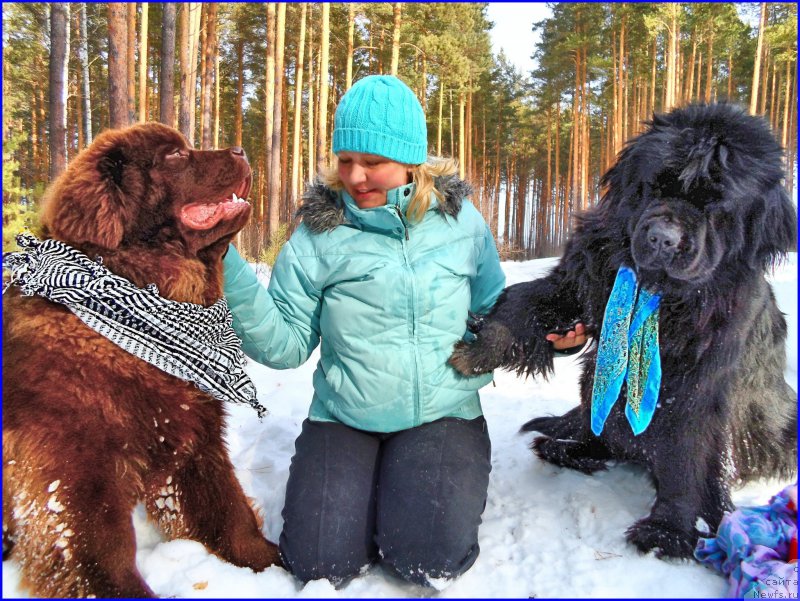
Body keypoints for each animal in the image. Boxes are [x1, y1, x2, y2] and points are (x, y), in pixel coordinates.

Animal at [3, 123, 280, 596]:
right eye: (174, 156)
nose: (241, 149)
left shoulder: (193, 442)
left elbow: (229, 513)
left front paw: (277, 565)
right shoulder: (73, 479)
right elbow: (105, 560)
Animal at [454, 102, 796, 556]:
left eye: (715, 204)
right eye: (655, 187)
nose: (663, 238)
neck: (663, 297)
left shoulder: (701, 383)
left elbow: (688, 453)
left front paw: (668, 529)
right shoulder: (581, 283)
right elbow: (525, 302)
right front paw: (480, 349)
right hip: (594, 378)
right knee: (596, 426)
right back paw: (566, 448)